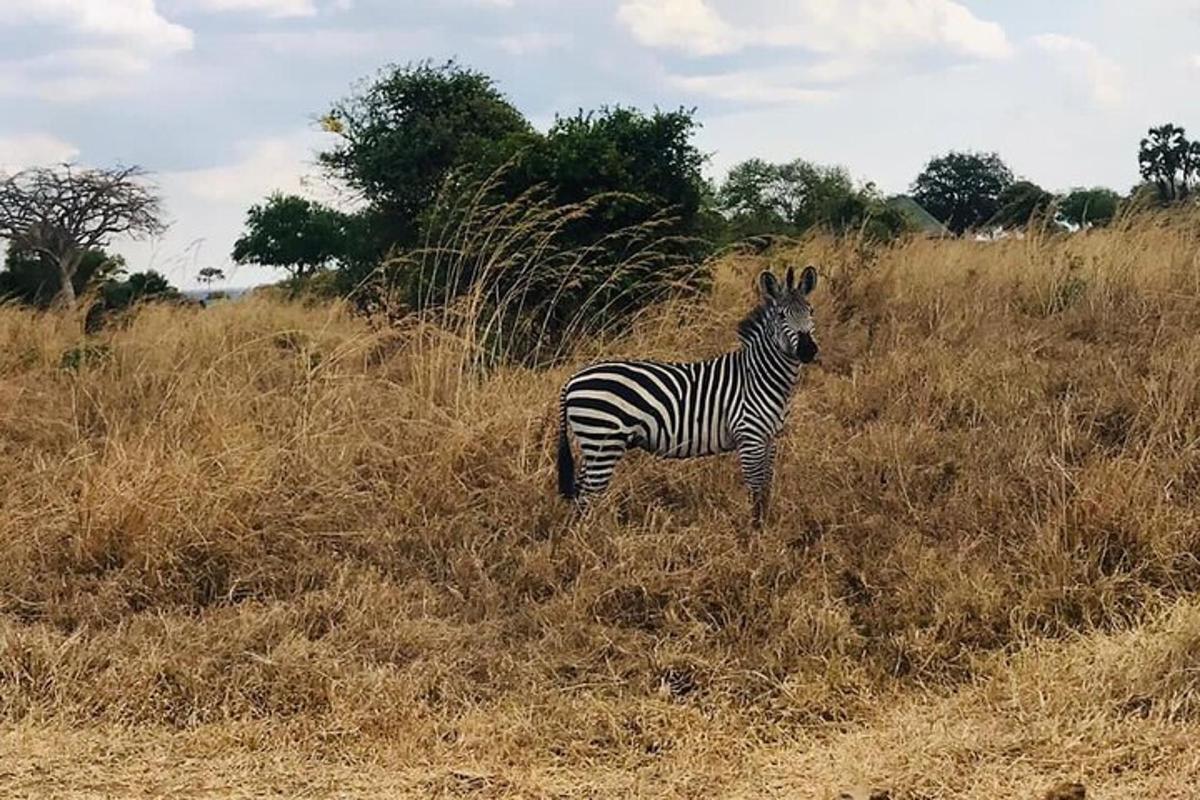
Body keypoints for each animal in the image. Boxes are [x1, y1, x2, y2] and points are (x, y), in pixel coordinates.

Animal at [556, 266, 820, 527]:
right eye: (781, 316)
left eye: (811, 311)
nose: (808, 350)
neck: (759, 376)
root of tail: (572, 379)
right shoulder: (750, 437)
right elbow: (755, 489)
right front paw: (754, 530)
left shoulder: (771, 438)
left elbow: (766, 487)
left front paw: (765, 525)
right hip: (603, 441)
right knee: (587, 495)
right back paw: (591, 533)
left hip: (595, 445)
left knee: (581, 491)